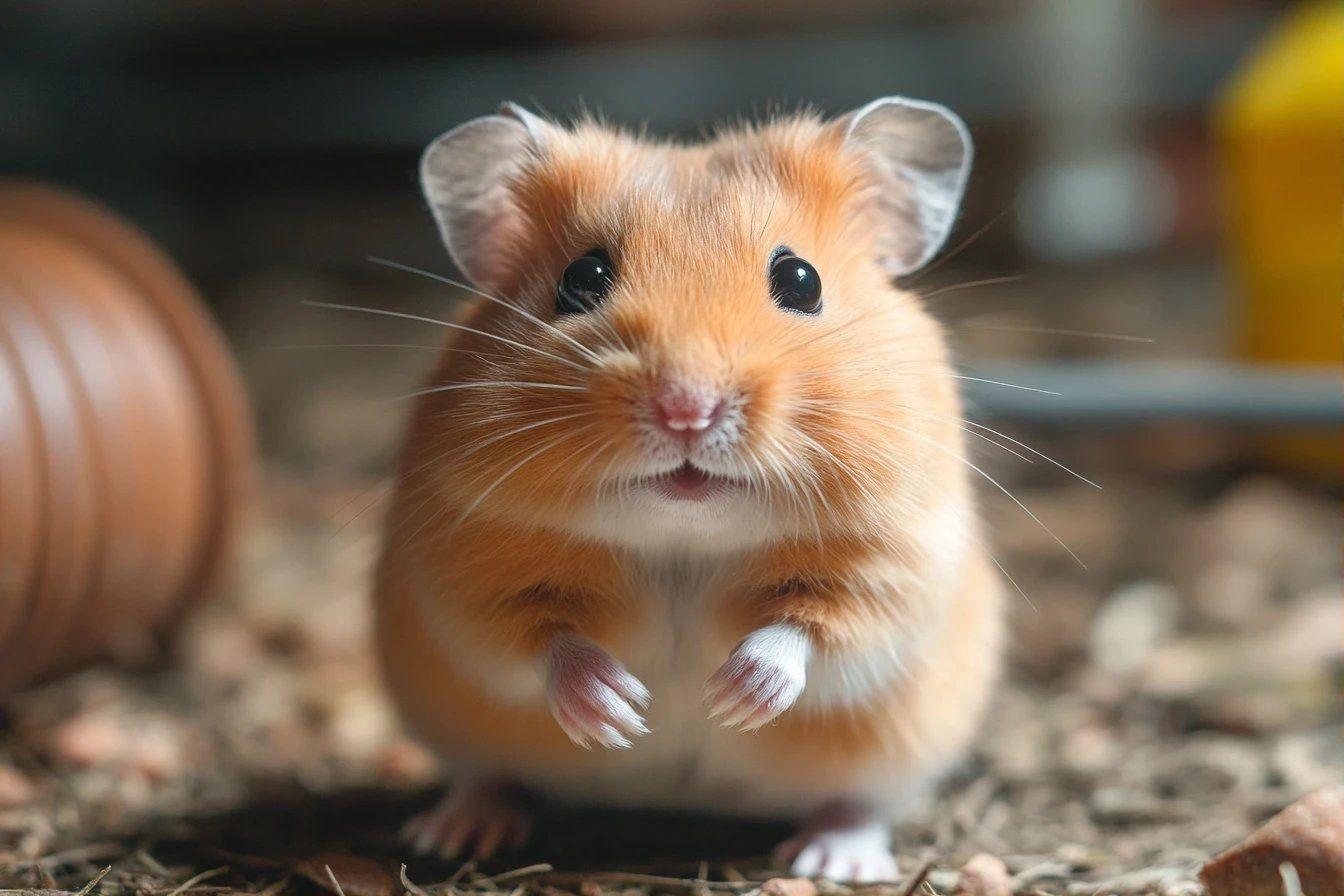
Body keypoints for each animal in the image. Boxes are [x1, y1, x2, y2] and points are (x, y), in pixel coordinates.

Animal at [374, 98, 1003, 883]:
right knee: (487, 775)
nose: (686, 409)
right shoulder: (464, 563)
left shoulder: (895, 562)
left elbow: (815, 628)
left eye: (802, 281)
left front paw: (730, 698)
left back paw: (834, 861)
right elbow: (536, 640)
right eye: (582, 278)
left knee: (859, 802)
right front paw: (622, 711)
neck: (684, 539)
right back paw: (452, 833)